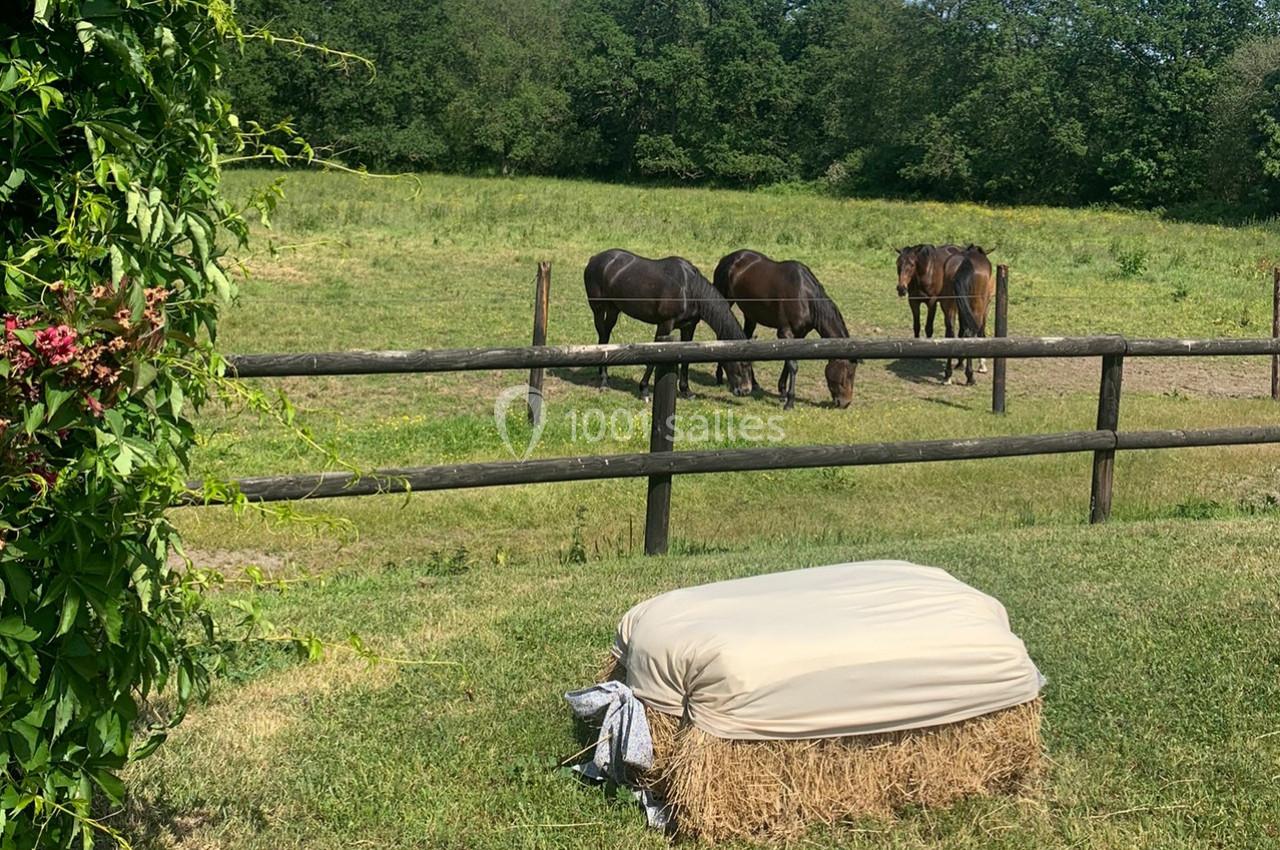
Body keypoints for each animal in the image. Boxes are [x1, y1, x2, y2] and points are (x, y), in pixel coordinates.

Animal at [583, 249, 753, 399]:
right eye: (741, 362)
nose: (745, 390)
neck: (688, 289)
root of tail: (594, 259)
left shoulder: (688, 327)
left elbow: (686, 359)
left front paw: (686, 391)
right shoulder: (665, 325)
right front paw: (644, 389)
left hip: (614, 309)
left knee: (605, 335)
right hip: (598, 309)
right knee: (602, 335)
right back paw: (604, 381)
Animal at [711, 249, 856, 410]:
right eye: (848, 373)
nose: (845, 403)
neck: (804, 296)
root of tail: (728, 258)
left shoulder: (799, 335)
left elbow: (789, 361)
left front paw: (782, 392)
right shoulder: (785, 333)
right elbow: (792, 365)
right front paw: (789, 401)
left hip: (750, 315)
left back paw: (753, 383)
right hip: (726, 301)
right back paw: (719, 376)